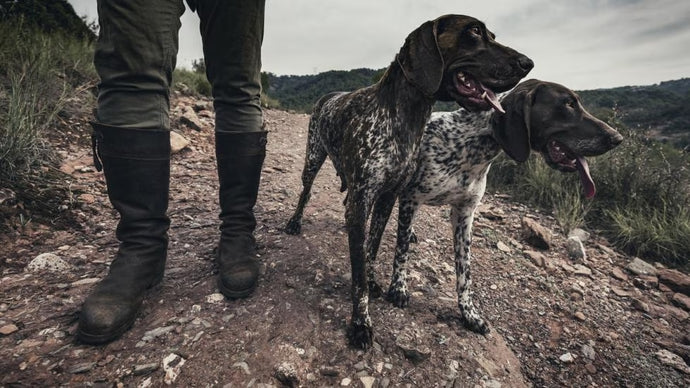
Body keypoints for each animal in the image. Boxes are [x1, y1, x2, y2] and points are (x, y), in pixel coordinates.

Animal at [374, 79, 620, 334]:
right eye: (568, 104)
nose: (617, 138)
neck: (471, 146)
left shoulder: (464, 214)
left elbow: (465, 271)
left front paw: (469, 313)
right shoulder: (411, 199)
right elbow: (401, 251)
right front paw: (398, 288)